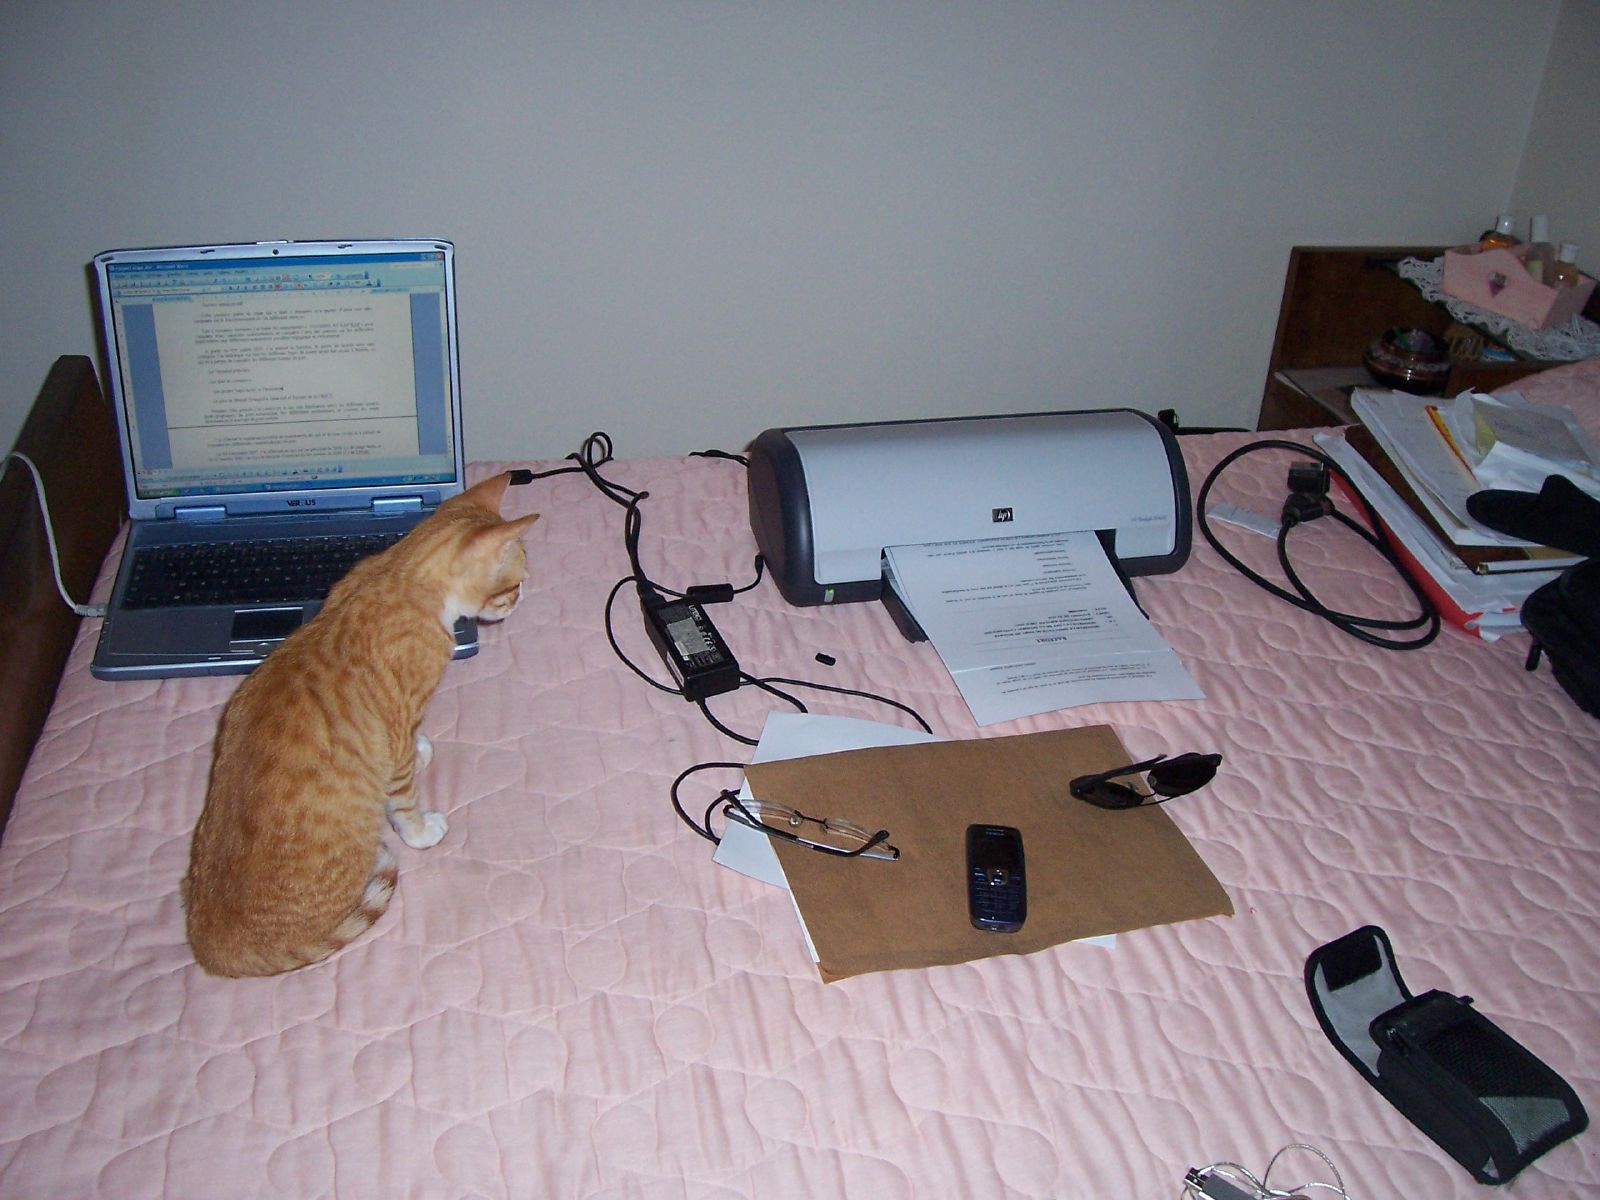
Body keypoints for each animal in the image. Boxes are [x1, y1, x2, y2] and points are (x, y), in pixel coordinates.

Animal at [183, 473, 537, 979]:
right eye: (516, 583)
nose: (525, 594)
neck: (399, 577)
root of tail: (214, 949)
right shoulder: (399, 720)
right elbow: (403, 793)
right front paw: (420, 830)